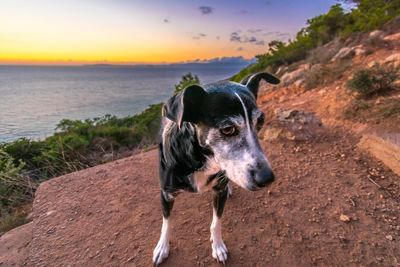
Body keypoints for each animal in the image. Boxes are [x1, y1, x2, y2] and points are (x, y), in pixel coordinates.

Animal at [153, 71, 282, 266]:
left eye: (260, 121)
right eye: (227, 129)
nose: (267, 178)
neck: (200, 160)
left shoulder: (218, 192)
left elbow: (216, 222)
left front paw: (218, 246)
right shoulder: (166, 194)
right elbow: (166, 223)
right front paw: (162, 247)